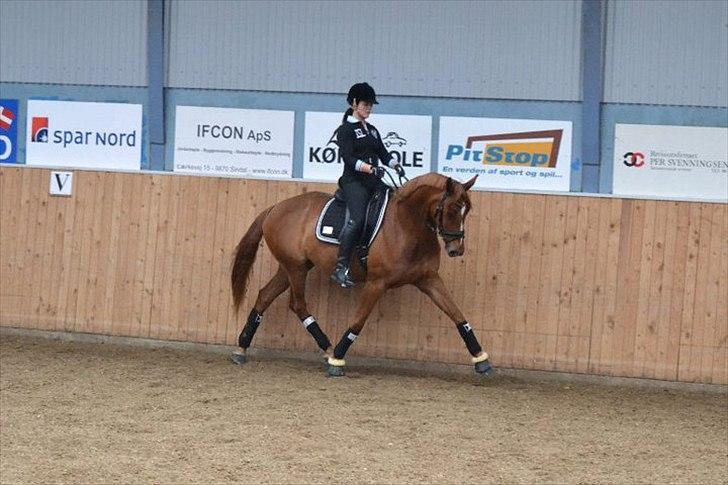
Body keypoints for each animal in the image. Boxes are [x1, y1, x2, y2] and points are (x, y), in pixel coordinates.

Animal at [232, 172, 494, 376]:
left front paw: (481, 358)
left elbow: (457, 315)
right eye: (452, 209)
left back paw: (241, 348)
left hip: (292, 267)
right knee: (298, 305)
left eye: (467, 210)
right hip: (295, 268)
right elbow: (358, 321)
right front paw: (338, 359)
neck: (406, 225)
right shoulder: (376, 283)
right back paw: (328, 350)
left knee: (265, 295)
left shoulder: (429, 279)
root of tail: (275, 208)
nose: (456, 249)